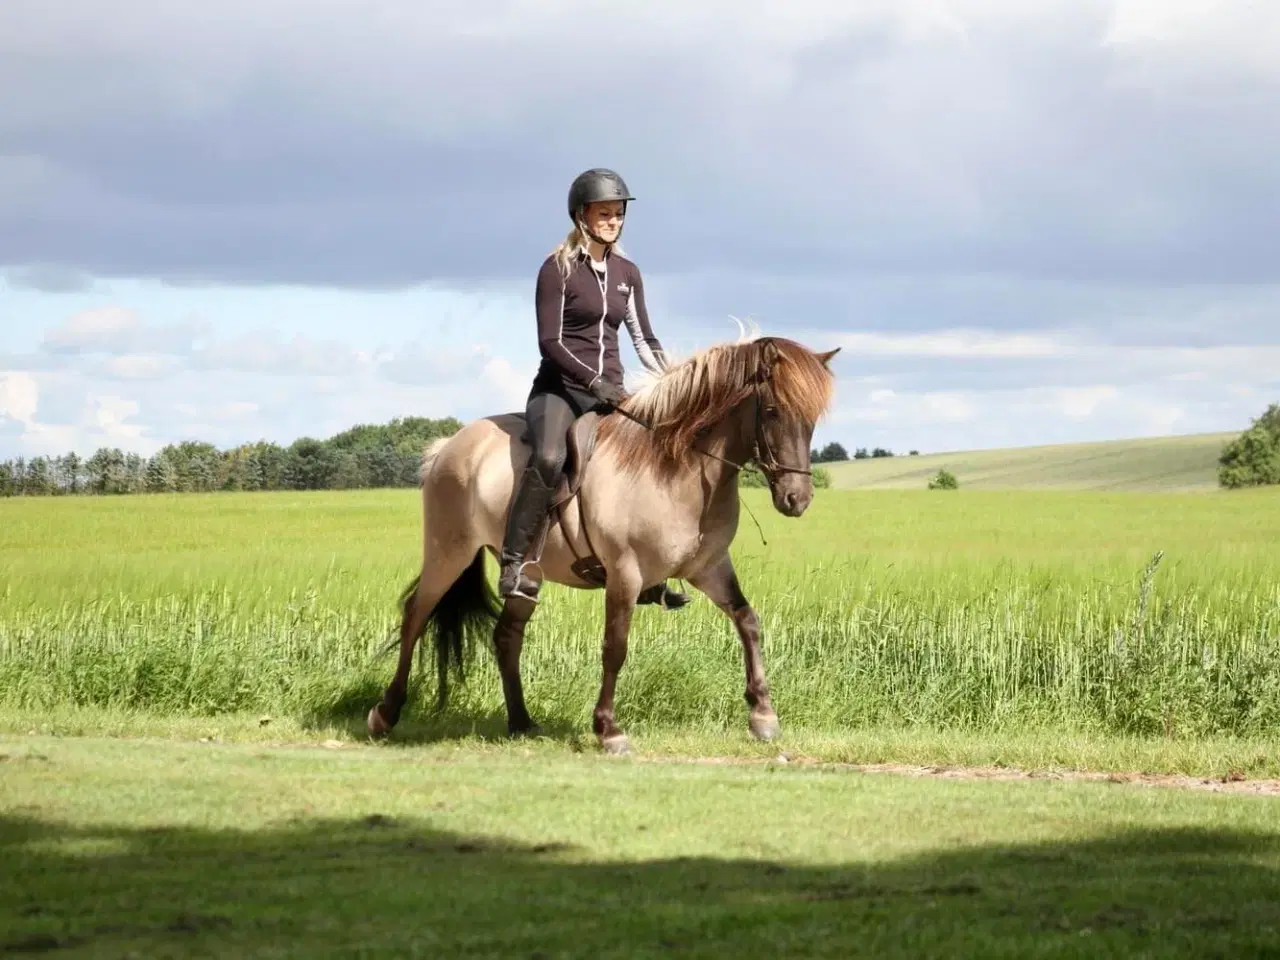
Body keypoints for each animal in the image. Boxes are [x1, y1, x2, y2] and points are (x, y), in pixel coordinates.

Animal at [368, 335, 839, 757]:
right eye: (773, 411)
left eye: (812, 419)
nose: (797, 499)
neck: (677, 467)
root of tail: (449, 445)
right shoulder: (624, 574)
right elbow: (615, 647)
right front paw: (609, 730)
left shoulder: (709, 568)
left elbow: (748, 621)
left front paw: (763, 715)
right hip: (448, 552)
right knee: (415, 616)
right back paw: (385, 714)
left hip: (528, 578)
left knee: (506, 636)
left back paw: (521, 722)